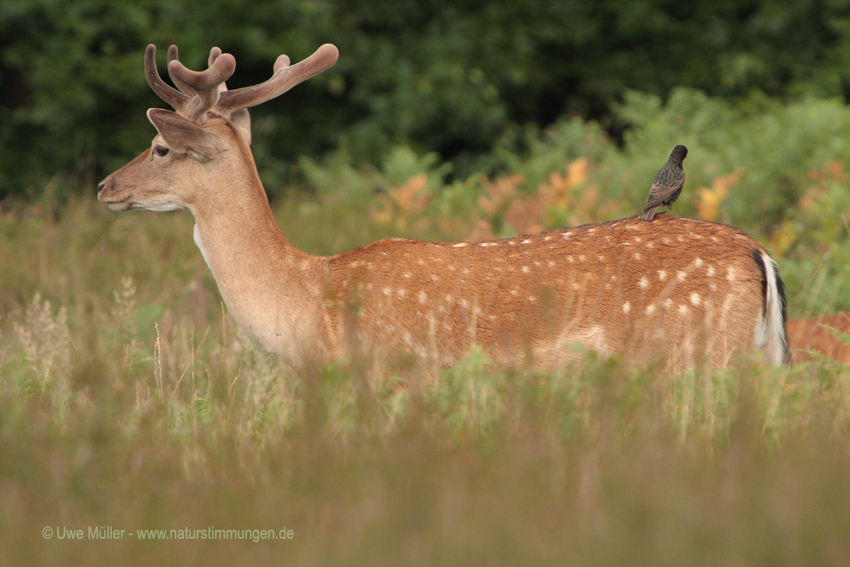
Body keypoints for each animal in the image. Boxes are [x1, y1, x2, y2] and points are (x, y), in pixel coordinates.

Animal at [97, 43, 788, 382]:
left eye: (160, 146)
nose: (105, 186)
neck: (304, 302)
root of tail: (758, 253)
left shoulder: (390, 375)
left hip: (698, 354)